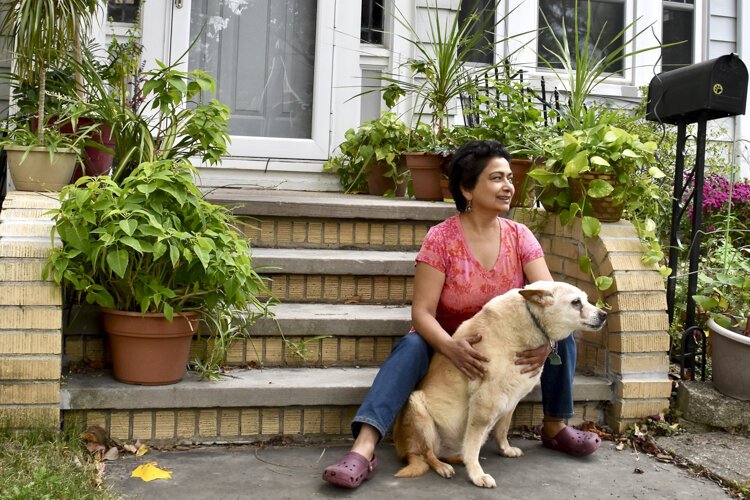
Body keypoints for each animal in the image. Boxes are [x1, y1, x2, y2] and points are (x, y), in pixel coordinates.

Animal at [396, 282, 608, 488]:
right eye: (576, 302)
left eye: (586, 299)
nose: (604, 315)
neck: (529, 320)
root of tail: (406, 450)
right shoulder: (484, 403)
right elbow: (472, 445)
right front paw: (477, 474)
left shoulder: (511, 399)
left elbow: (502, 428)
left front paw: (505, 449)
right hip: (418, 406)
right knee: (428, 454)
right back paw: (442, 466)